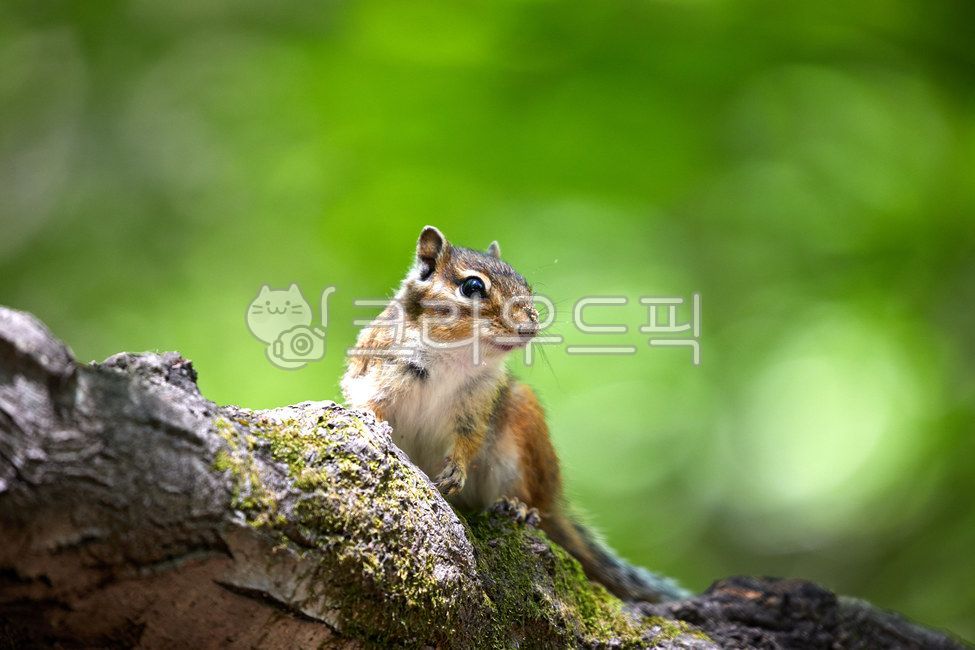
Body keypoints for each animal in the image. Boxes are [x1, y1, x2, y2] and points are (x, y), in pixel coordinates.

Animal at [341, 225, 688, 603]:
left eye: (526, 286)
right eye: (472, 287)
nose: (529, 325)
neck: (454, 355)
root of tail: (553, 502)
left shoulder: (479, 402)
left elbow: (469, 438)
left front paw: (457, 469)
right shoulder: (374, 367)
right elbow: (365, 400)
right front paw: (370, 420)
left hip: (521, 434)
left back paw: (518, 507)